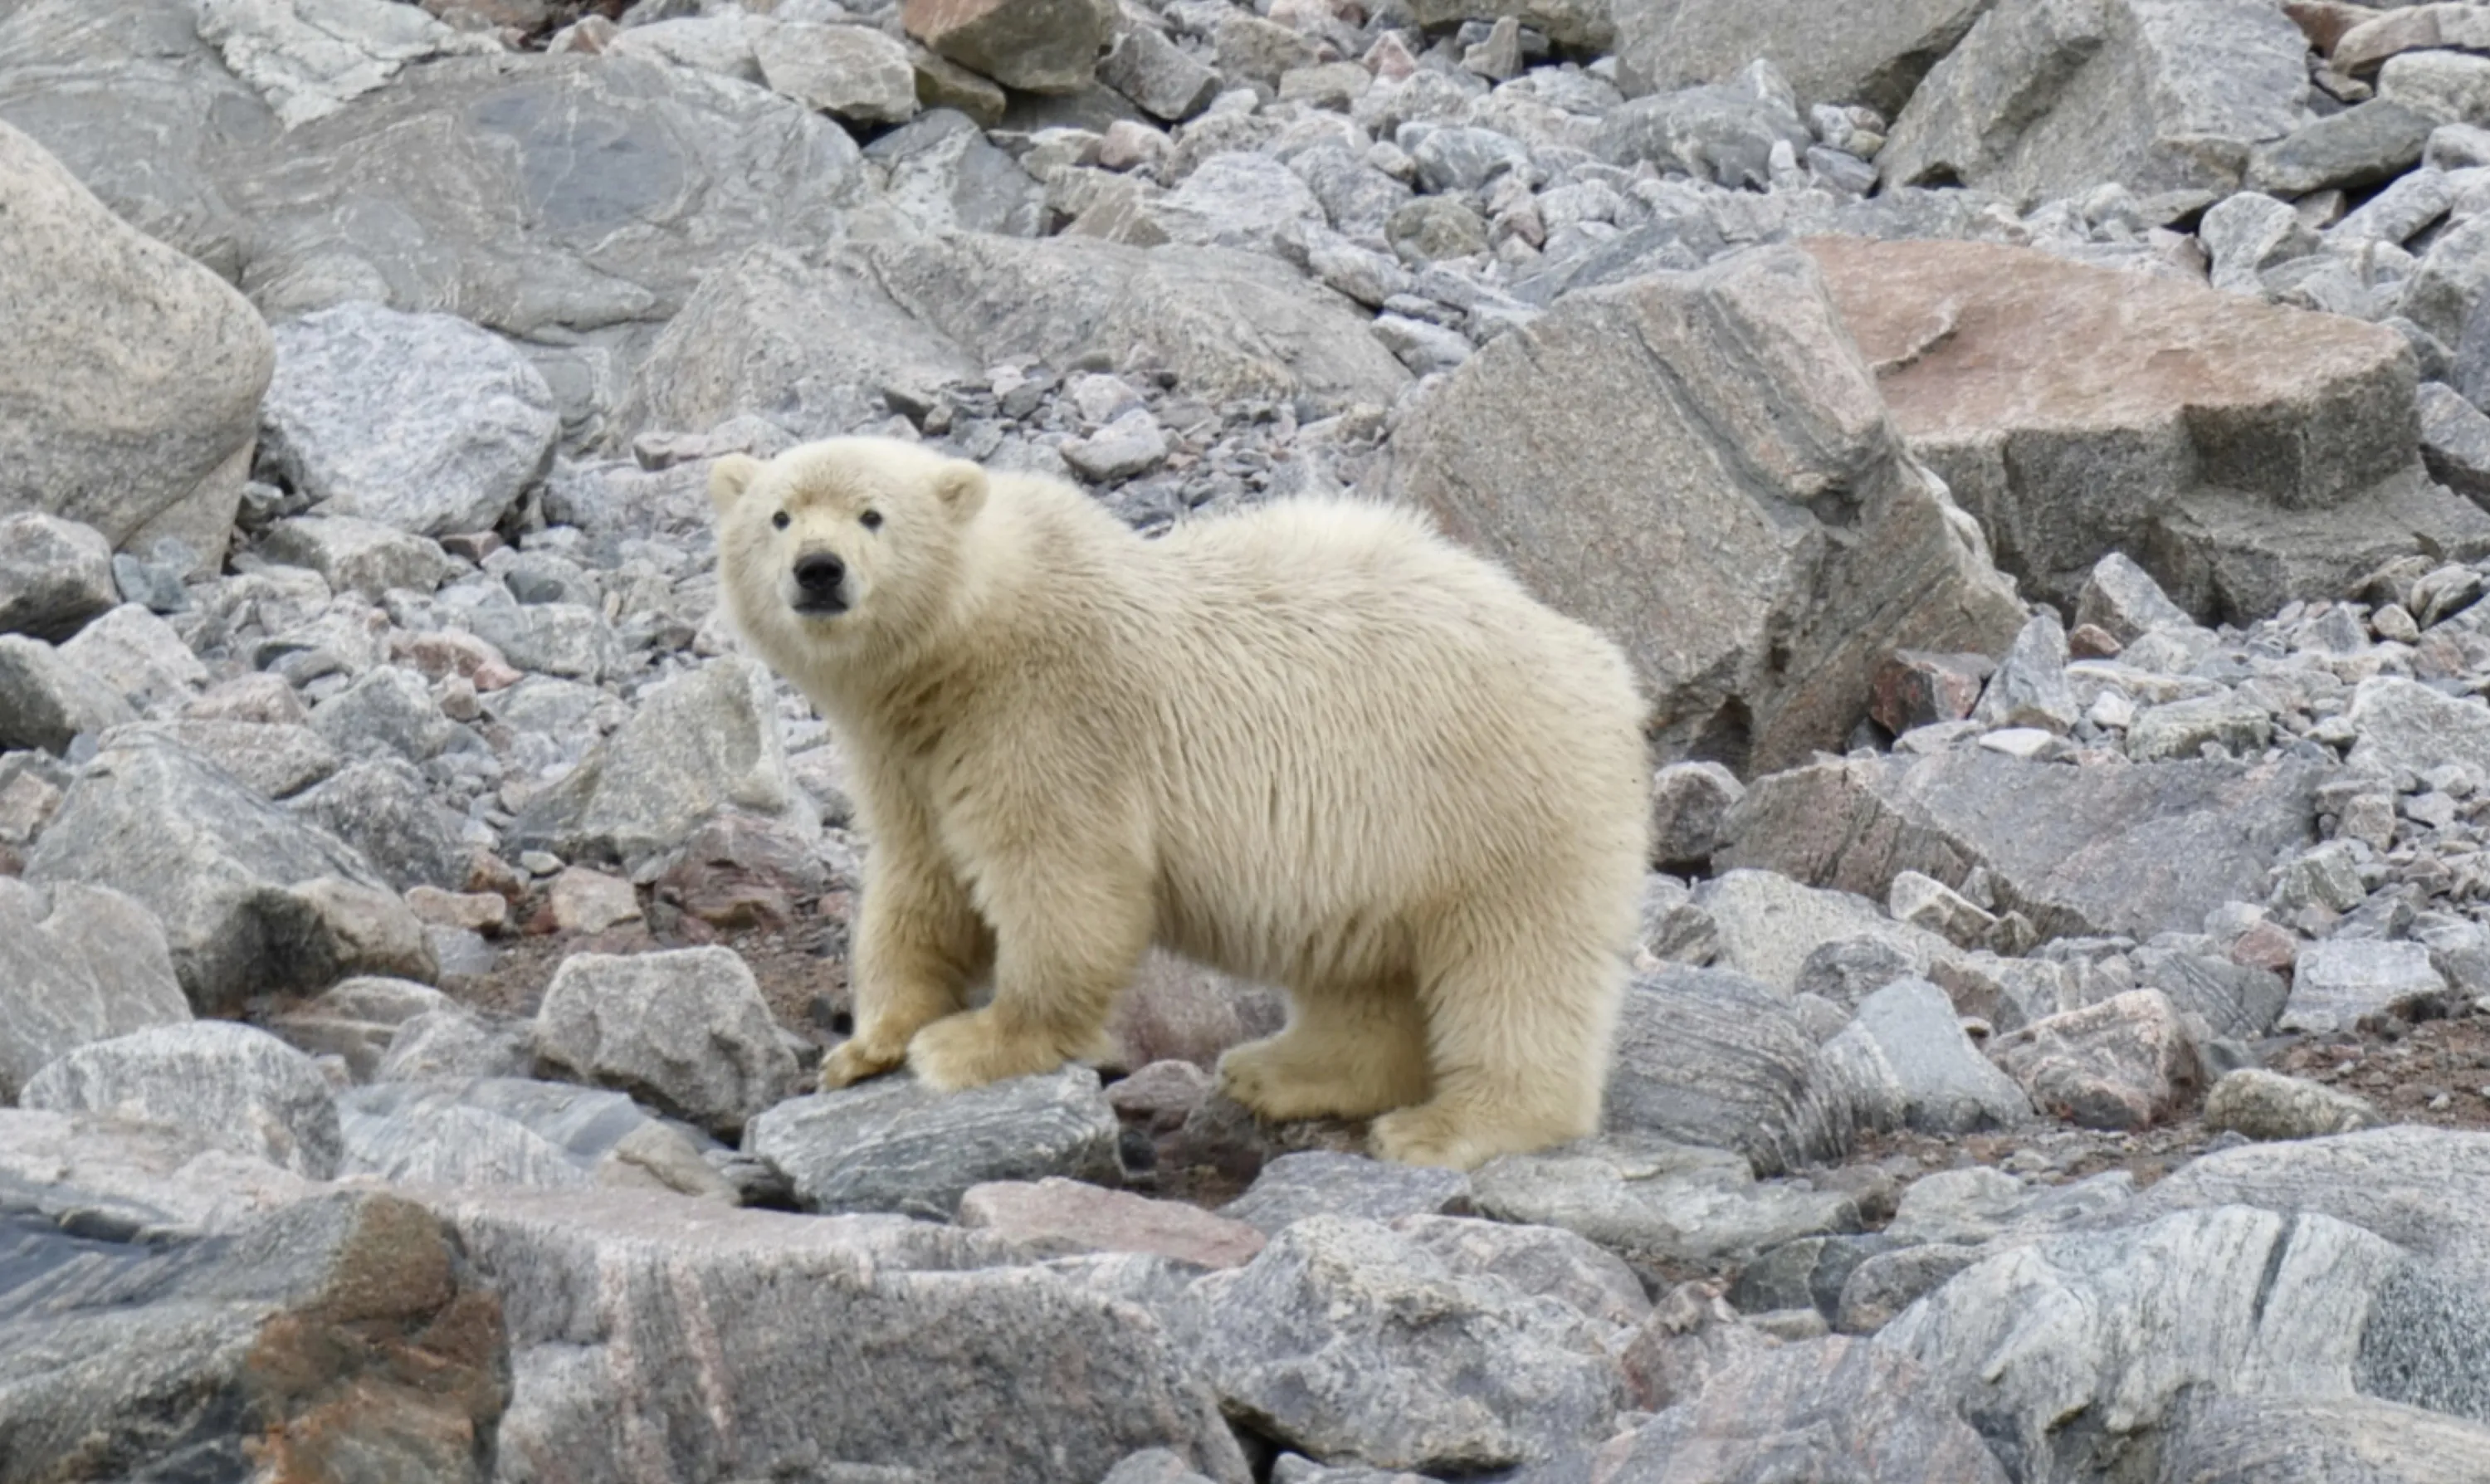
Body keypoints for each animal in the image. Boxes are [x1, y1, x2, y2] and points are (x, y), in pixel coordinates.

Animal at [709, 436, 1650, 1169]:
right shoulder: (908, 756)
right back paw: (1283, 1071)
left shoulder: (1051, 715)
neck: (969, 644)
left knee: (1514, 963)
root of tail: (1603, 666)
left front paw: (975, 1042)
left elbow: (1065, 882)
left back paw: (1449, 1126)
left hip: (1493, 794)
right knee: (1363, 969)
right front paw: (866, 1046)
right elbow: (920, 881)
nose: (819, 571)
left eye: (873, 515)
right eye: (779, 517)